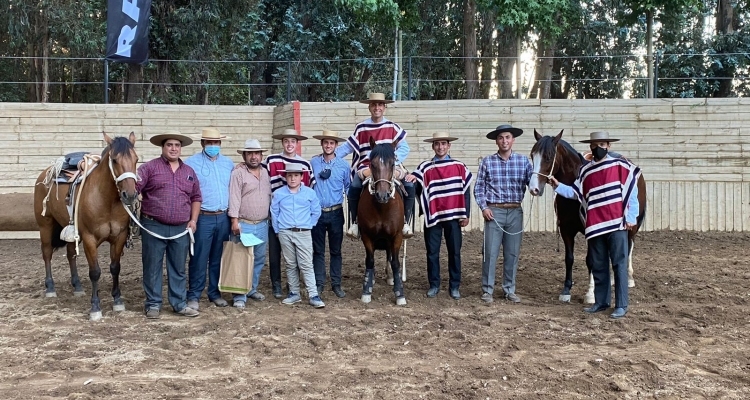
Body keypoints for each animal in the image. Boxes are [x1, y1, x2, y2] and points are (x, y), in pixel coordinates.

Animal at [32, 133, 140, 320]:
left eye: (136, 159)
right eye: (114, 160)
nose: (130, 195)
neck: (106, 200)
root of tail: (45, 173)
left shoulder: (118, 237)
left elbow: (115, 268)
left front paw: (118, 300)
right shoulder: (90, 238)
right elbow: (95, 271)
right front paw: (95, 307)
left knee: (70, 255)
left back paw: (77, 286)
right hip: (45, 225)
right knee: (46, 253)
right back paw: (50, 287)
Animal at [362, 138, 408, 306]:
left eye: (393, 164)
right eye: (372, 164)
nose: (383, 195)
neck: (382, 207)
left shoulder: (396, 236)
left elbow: (395, 263)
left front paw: (399, 293)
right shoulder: (366, 235)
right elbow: (370, 260)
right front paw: (367, 290)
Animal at [524, 130, 648, 304]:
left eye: (548, 156)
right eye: (532, 155)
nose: (534, 188)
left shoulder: (591, 230)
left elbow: (591, 260)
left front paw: (591, 293)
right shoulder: (566, 230)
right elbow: (569, 258)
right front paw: (566, 290)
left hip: (633, 224)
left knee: (629, 245)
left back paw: (629, 279)